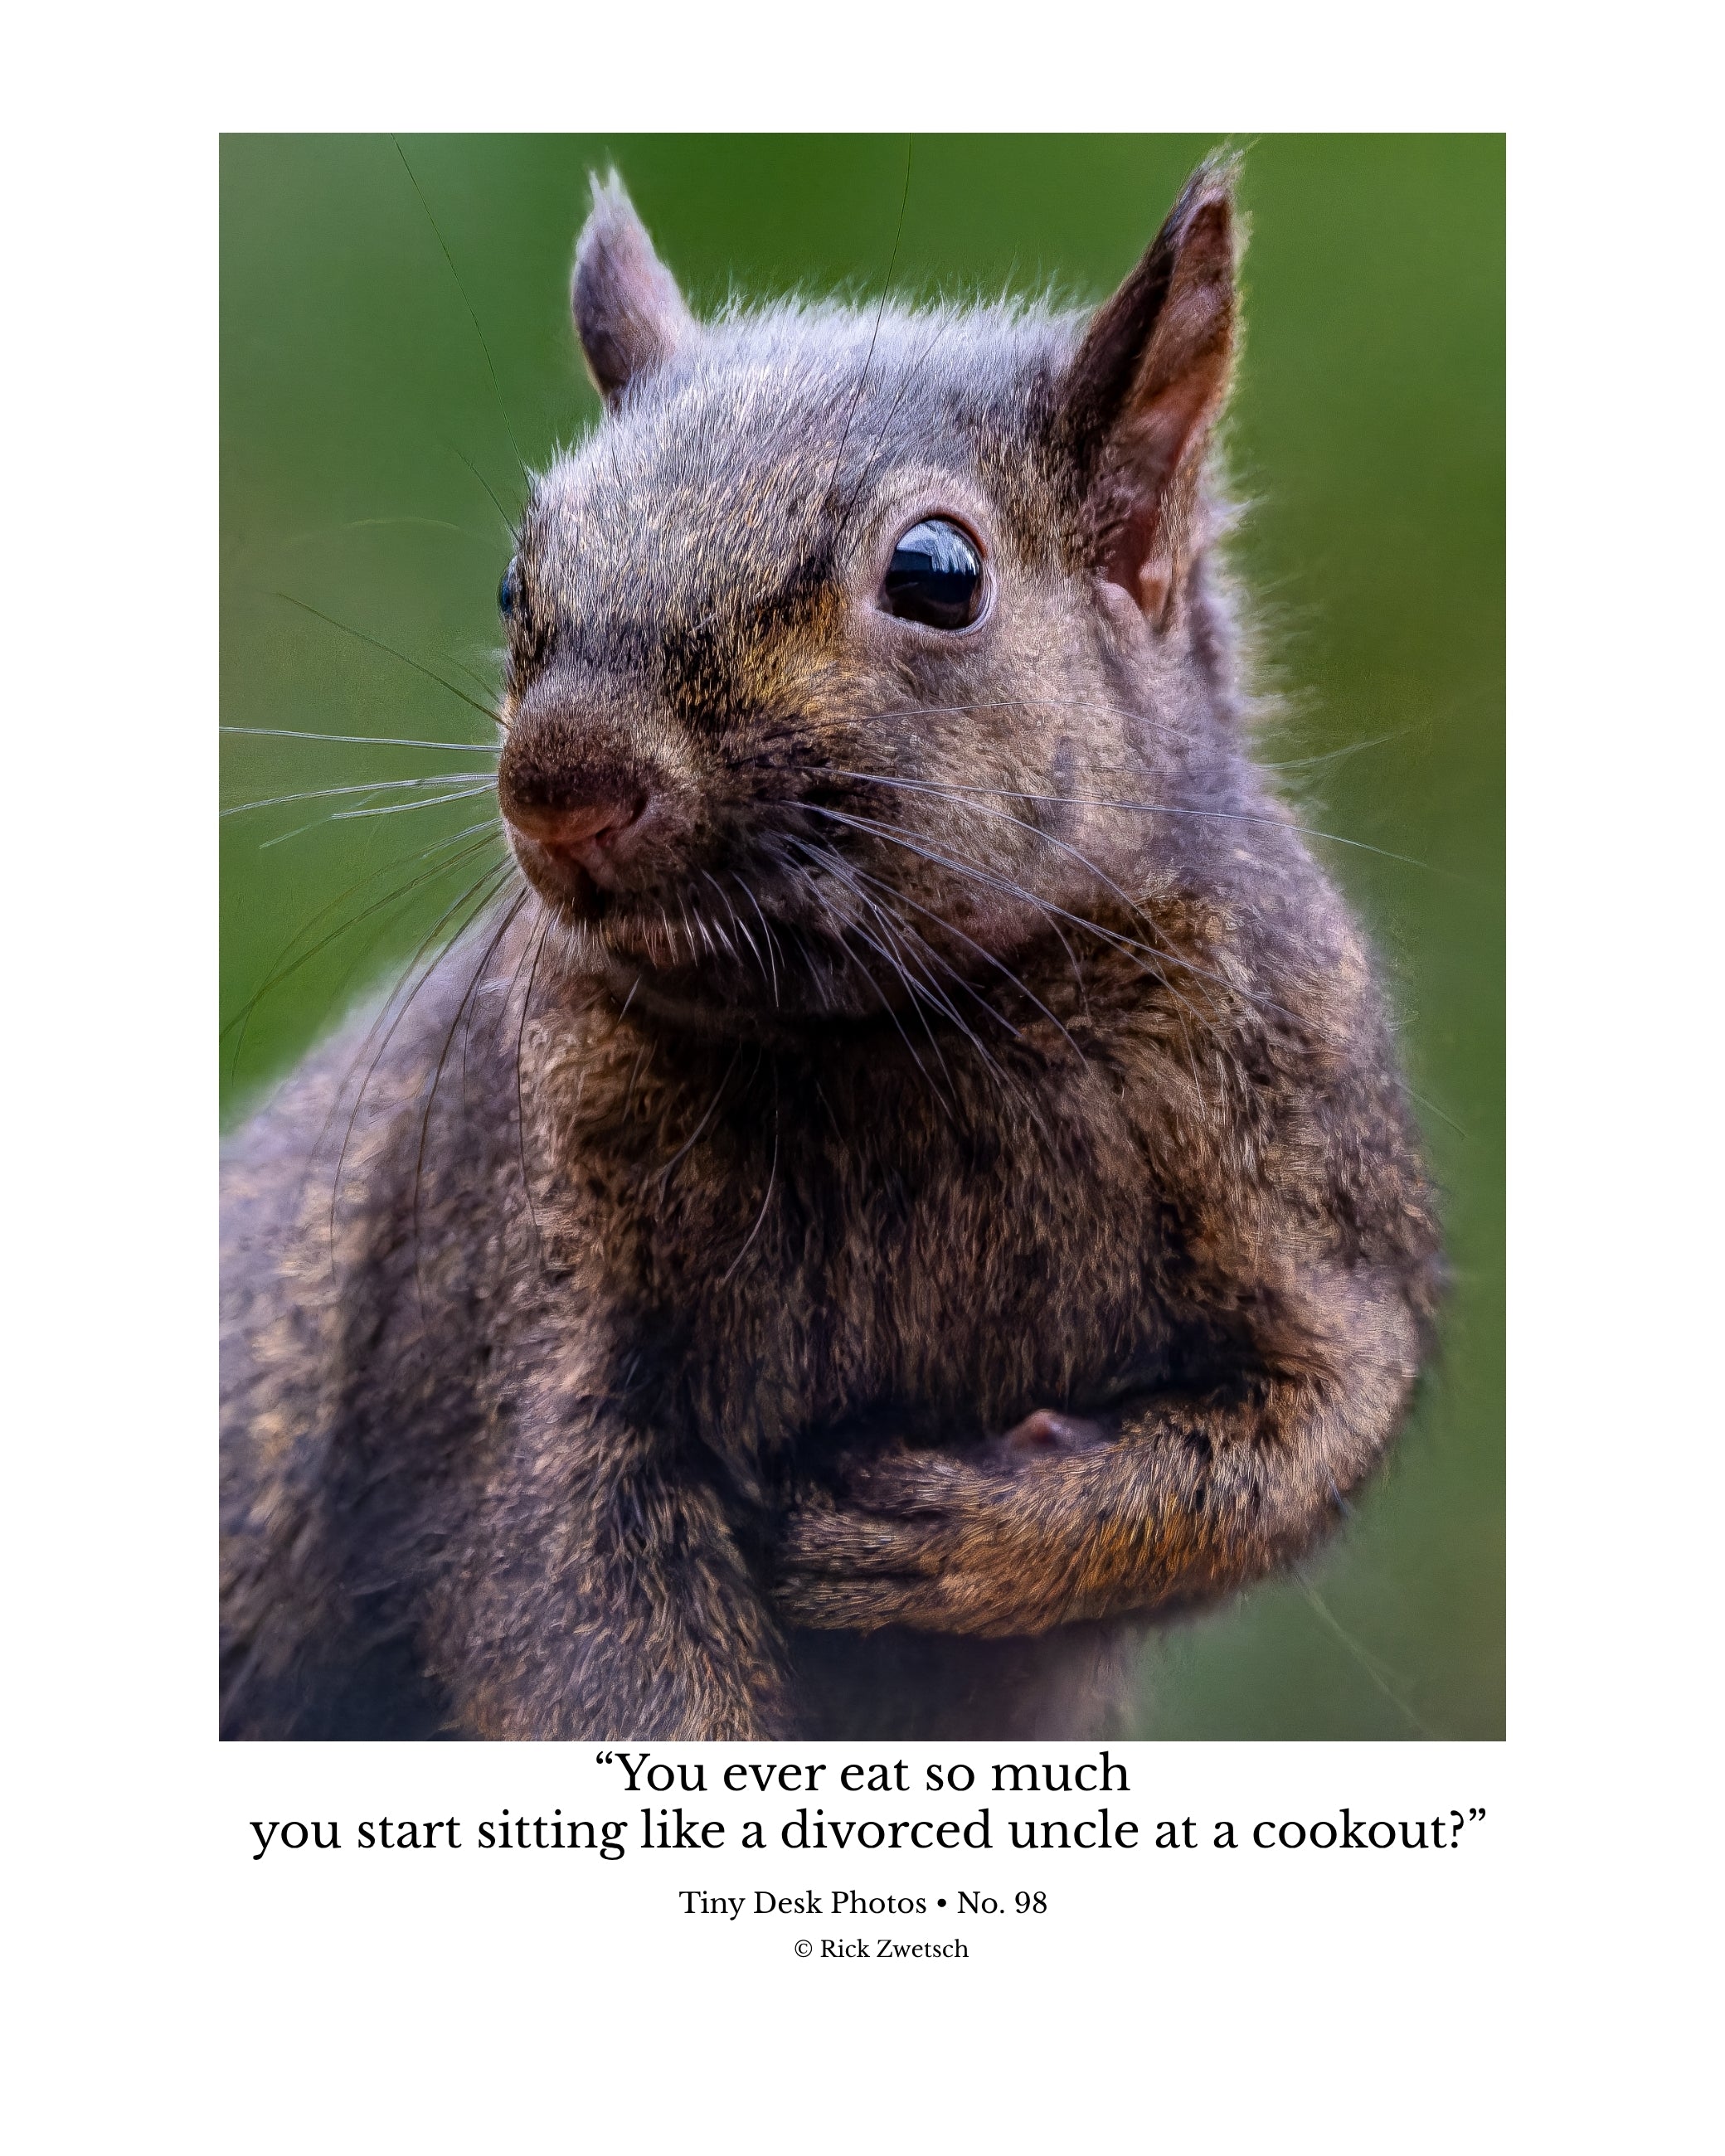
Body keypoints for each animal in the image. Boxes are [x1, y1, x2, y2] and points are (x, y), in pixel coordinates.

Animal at [220, 157, 1442, 1741]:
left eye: (936, 572)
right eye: (512, 581)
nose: (561, 783)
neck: (904, 1026)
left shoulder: (1311, 1148)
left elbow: (1312, 1426)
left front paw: (959, 1540)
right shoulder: (501, 1294)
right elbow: (567, 1608)